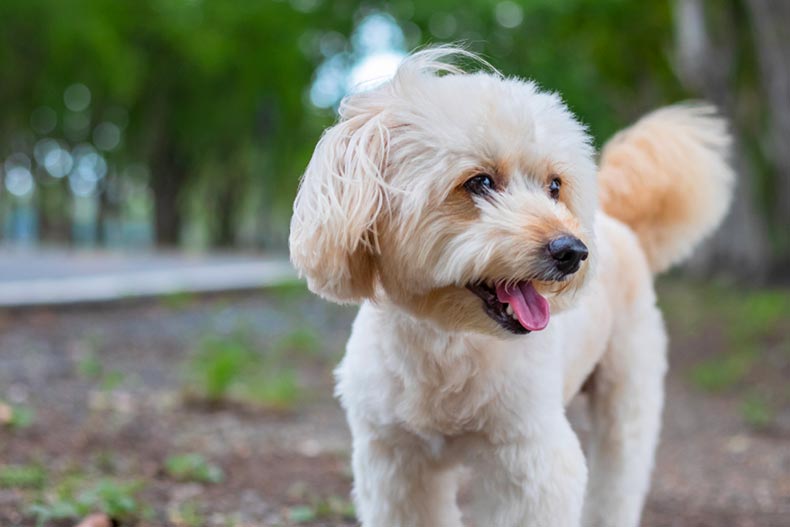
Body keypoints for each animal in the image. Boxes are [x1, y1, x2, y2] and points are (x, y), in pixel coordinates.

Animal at [288, 46, 732, 527]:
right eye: (479, 182)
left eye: (555, 186)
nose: (572, 251)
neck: (449, 343)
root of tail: (617, 221)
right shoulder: (396, 461)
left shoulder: (530, 460)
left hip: (628, 394)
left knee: (619, 478)